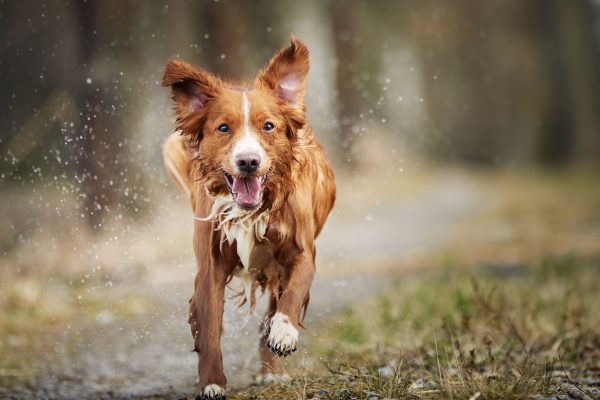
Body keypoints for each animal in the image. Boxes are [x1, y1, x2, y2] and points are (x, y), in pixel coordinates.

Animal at [162, 38, 336, 400]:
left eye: (268, 126)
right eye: (223, 128)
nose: (248, 161)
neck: (254, 209)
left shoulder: (301, 253)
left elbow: (293, 294)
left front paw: (284, 333)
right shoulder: (210, 267)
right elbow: (209, 328)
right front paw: (211, 382)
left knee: (273, 308)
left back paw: (272, 369)